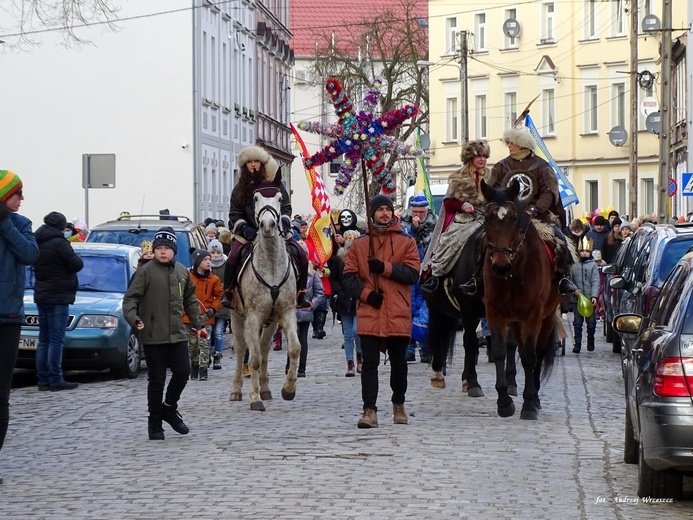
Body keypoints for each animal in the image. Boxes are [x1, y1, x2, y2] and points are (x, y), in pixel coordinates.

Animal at [228, 186, 302, 410]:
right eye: (255, 198)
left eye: (279, 198)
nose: (268, 225)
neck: (270, 263)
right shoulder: (253, 317)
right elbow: (253, 359)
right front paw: (254, 398)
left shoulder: (286, 312)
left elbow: (295, 348)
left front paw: (288, 390)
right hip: (237, 317)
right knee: (242, 348)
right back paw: (236, 390)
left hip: (271, 321)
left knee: (264, 347)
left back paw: (266, 388)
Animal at [422, 229, 512, 398]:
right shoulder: (467, 310)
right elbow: (470, 343)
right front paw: (474, 384)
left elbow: (509, 345)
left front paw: (511, 384)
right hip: (436, 309)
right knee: (438, 334)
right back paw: (438, 374)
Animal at [482, 178, 564, 418]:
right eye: (486, 219)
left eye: (513, 218)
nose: (500, 266)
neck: (514, 272)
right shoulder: (495, 312)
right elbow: (499, 350)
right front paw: (504, 402)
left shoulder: (534, 314)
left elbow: (529, 356)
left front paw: (529, 404)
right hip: (517, 322)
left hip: (546, 318)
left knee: (538, 352)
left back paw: (534, 398)